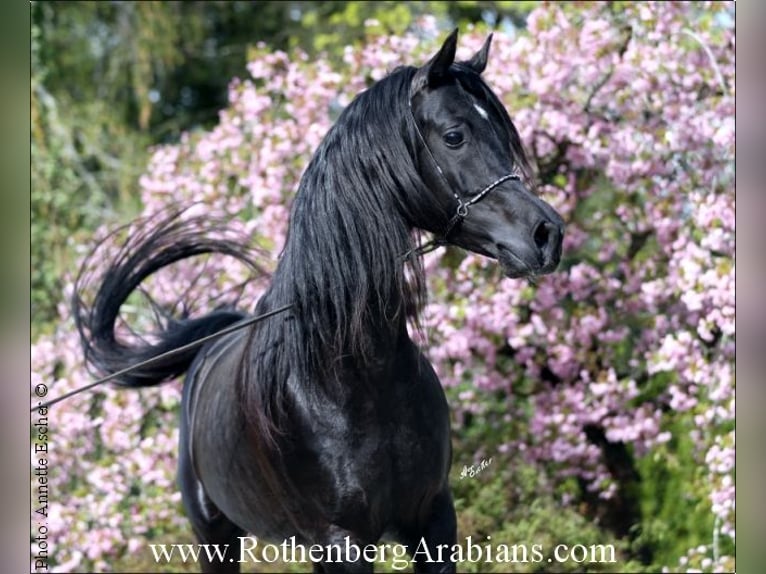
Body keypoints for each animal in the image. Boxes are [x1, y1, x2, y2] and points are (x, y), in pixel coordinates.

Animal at [73, 32, 564, 574]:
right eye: (455, 135)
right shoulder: (340, 543)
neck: (352, 377)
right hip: (214, 538)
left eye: (500, 131)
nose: (547, 234)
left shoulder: (434, 520)